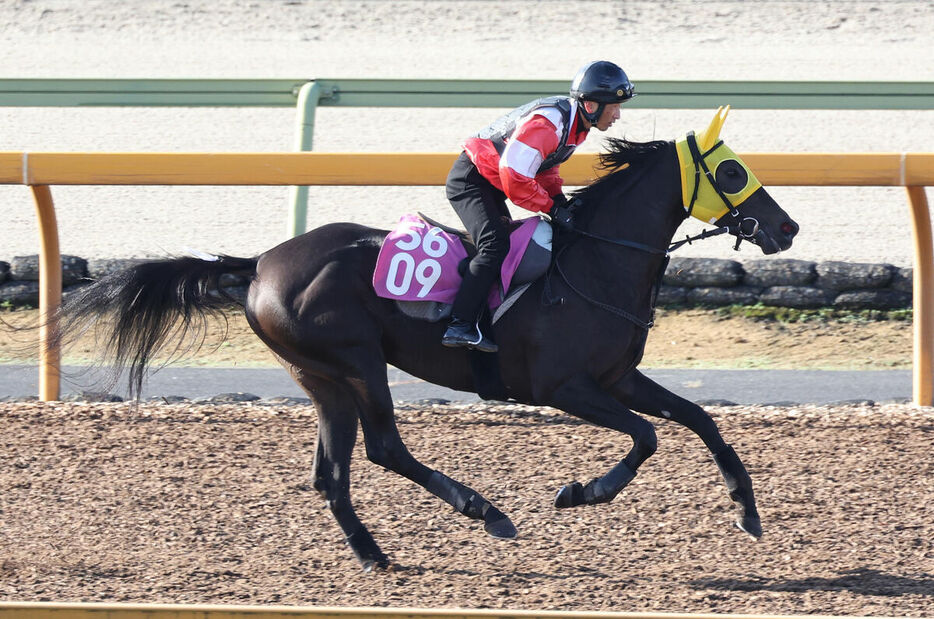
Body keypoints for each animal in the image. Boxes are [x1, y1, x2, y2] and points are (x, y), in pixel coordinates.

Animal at [49, 106, 796, 572]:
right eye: (732, 170)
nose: (787, 228)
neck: (592, 263)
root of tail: (259, 263)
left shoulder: (616, 377)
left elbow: (698, 419)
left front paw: (747, 510)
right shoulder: (564, 387)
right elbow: (646, 437)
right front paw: (579, 492)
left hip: (321, 377)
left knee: (331, 473)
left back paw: (373, 553)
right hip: (356, 361)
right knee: (383, 449)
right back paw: (486, 511)